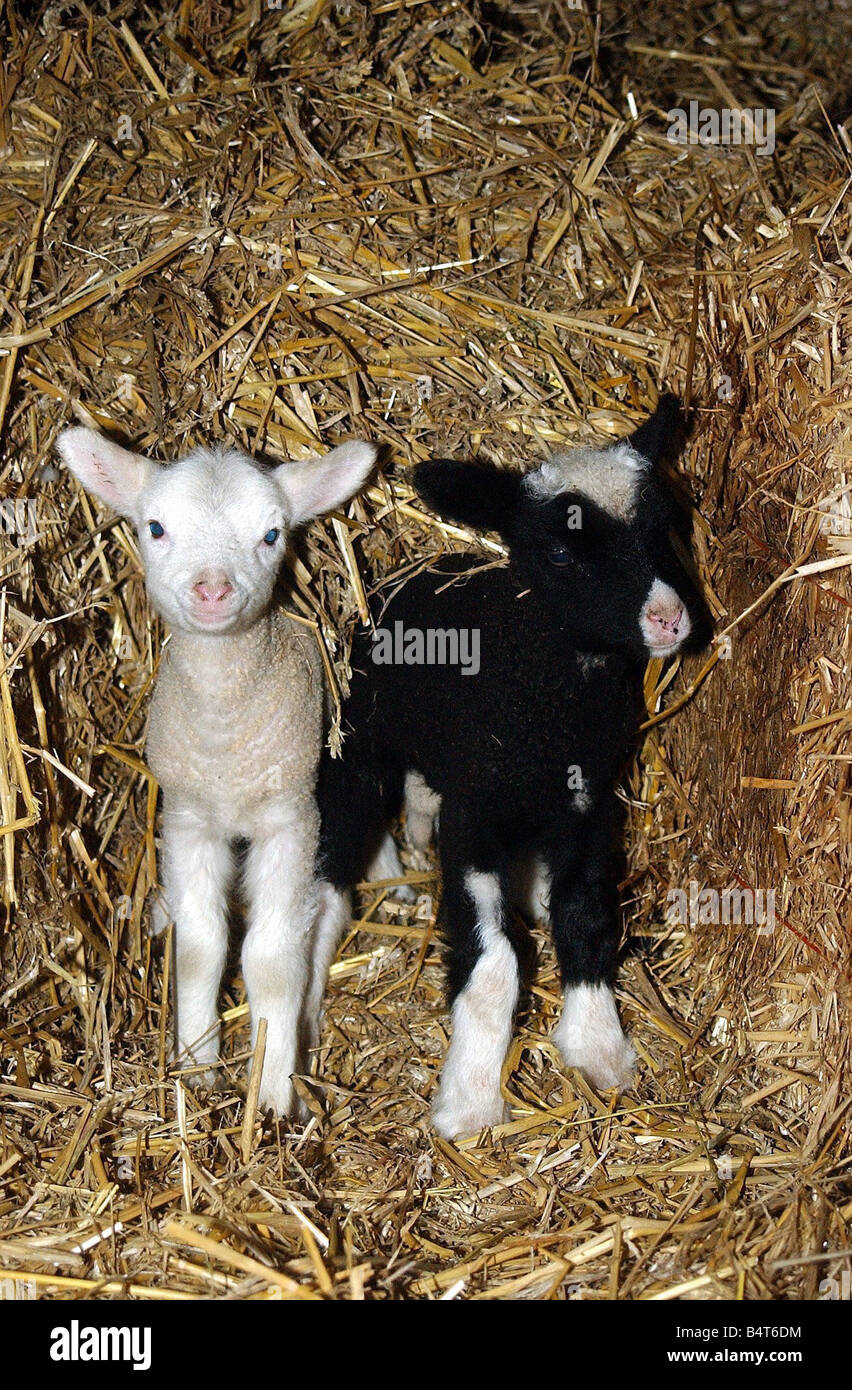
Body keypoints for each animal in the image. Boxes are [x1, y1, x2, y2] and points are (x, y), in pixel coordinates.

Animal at [59, 425, 375, 1117]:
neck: (226, 737)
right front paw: (196, 1070)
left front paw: (275, 1092)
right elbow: (202, 946)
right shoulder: (187, 821)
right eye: (154, 527)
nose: (212, 590)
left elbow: (273, 959)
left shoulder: (292, 822)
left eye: (272, 534)